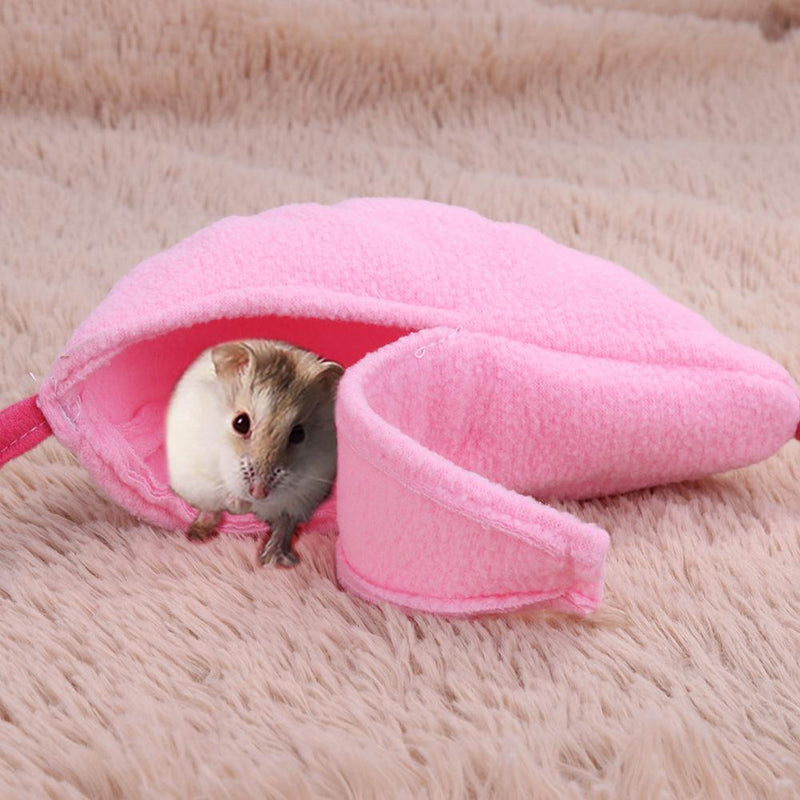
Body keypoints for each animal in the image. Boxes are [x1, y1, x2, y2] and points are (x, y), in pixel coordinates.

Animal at [165, 339, 343, 567]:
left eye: (299, 434)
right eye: (240, 423)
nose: (259, 493)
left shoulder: (308, 489)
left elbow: (285, 517)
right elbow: (224, 491)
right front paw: (238, 503)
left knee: (285, 522)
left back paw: (275, 558)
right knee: (211, 507)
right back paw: (197, 534)